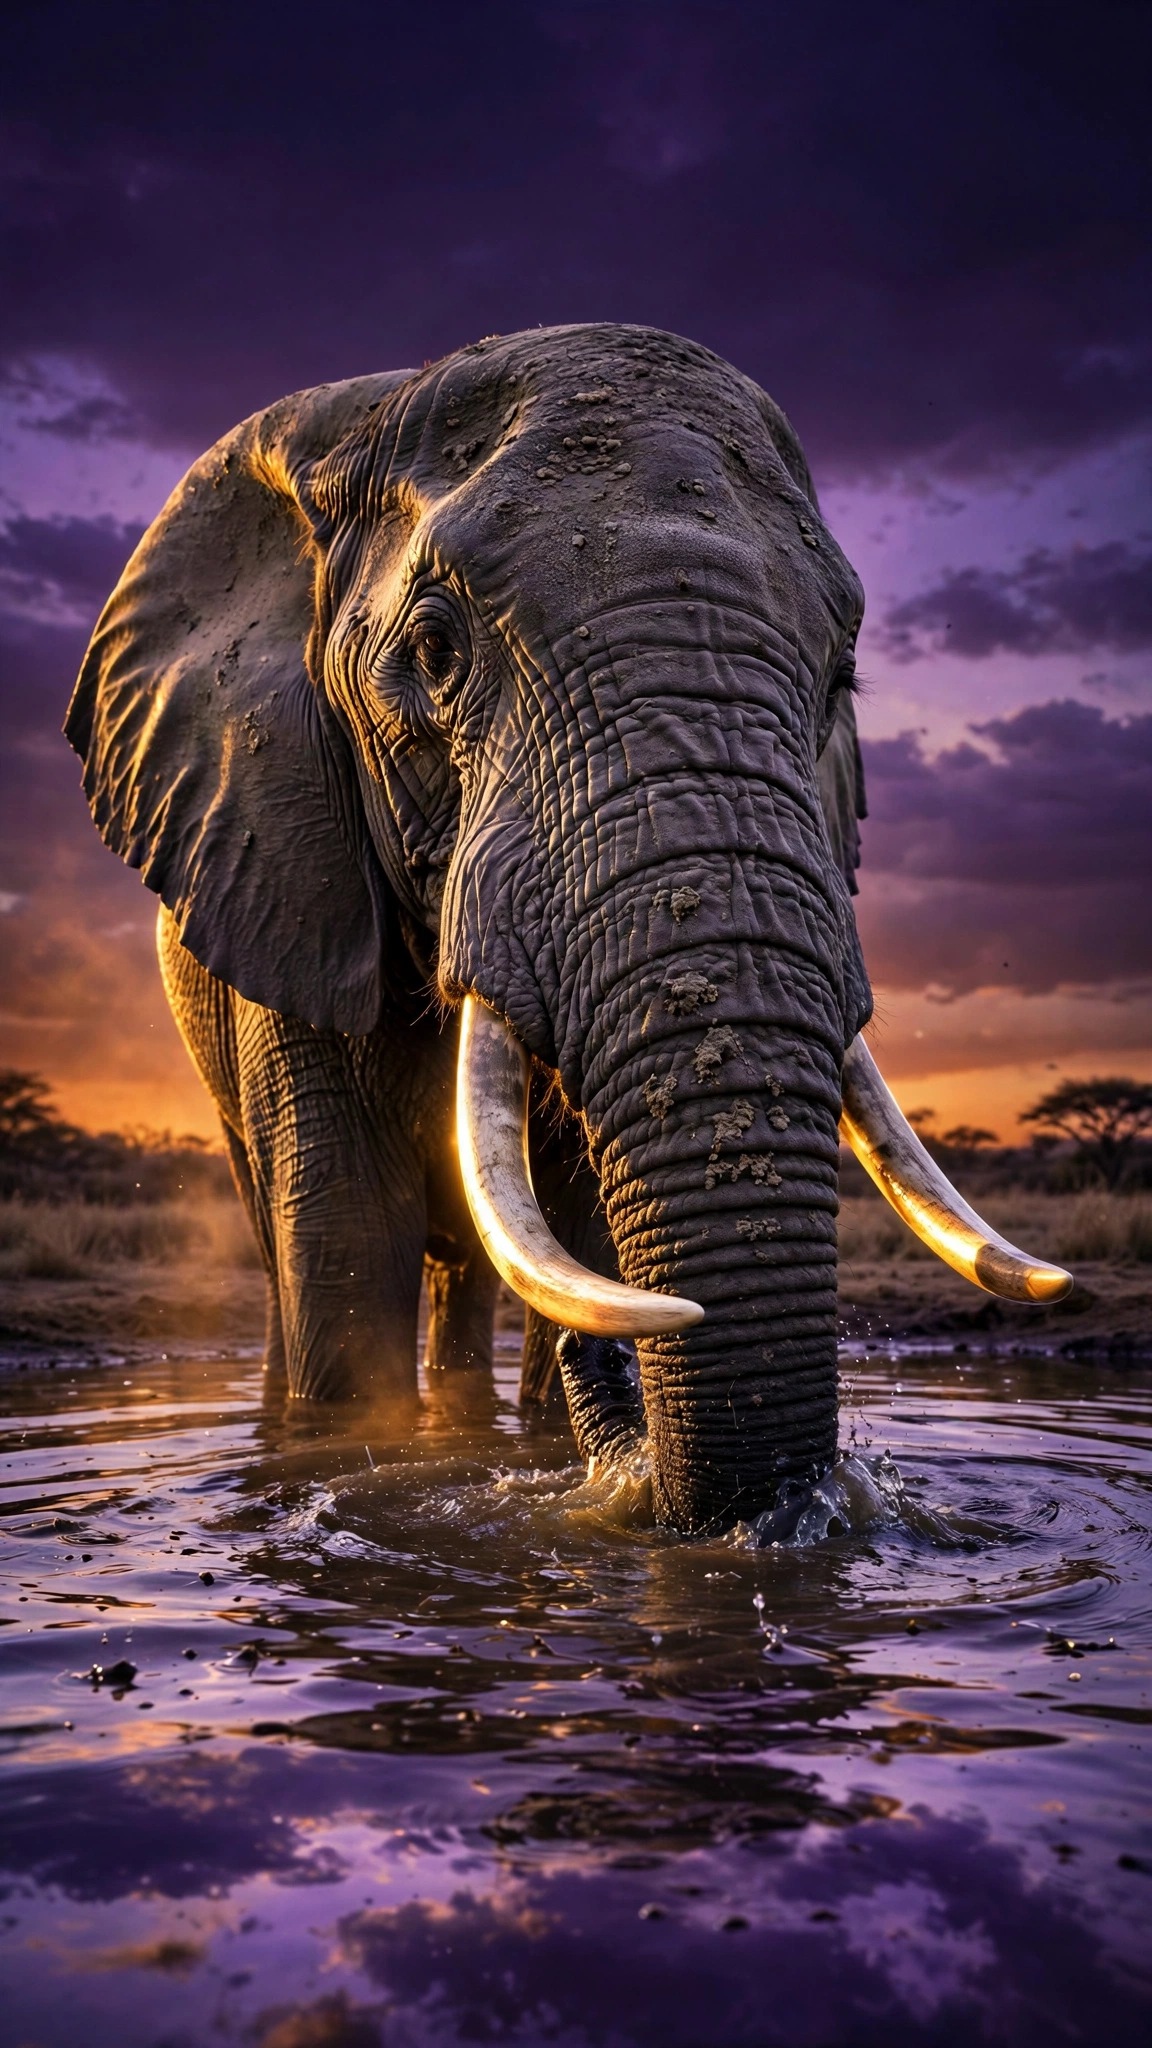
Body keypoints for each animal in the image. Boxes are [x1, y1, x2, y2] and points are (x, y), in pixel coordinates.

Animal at [66, 323, 1070, 1536]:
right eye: (435, 654)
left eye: (843, 675)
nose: (640, 1340)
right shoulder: (289, 871)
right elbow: (348, 1249)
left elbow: (581, 1229)